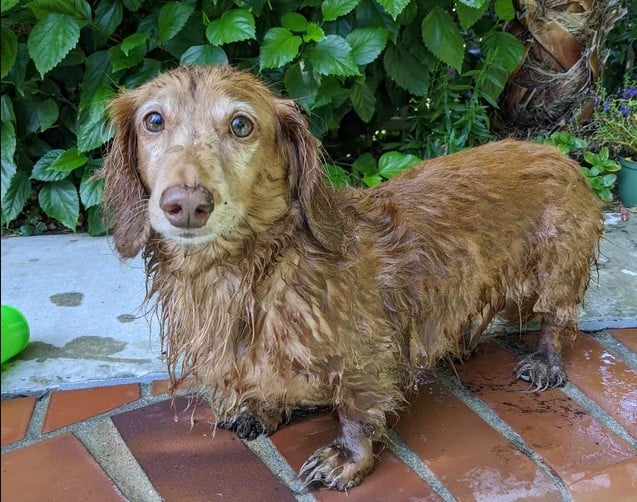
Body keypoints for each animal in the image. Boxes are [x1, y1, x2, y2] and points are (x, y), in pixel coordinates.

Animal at [99, 63, 600, 490]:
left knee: (556, 321)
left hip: (559, 269)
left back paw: (544, 361)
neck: (256, 270)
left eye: (241, 125)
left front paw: (345, 460)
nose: (185, 203)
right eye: (154, 120)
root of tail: (556, 152)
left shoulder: (369, 354)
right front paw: (261, 410)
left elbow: (357, 413)